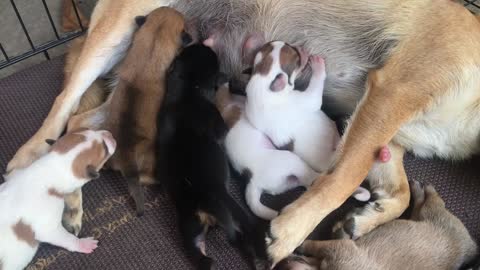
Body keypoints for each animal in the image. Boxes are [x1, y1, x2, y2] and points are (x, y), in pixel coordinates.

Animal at [0, 129, 116, 270]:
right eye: (105, 149)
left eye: (87, 130)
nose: (109, 133)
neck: (46, 172)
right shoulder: (48, 226)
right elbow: (64, 237)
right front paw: (82, 244)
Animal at [156, 44, 264, 270]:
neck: (187, 91)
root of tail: (204, 205)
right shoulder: (217, 122)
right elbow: (222, 130)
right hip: (233, 208)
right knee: (247, 231)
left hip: (190, 226)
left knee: (200, 254)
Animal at [276, 181, 478, 270]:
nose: (284, 262)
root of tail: (471, 245)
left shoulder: (341, 249)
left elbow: (316, 245)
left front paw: (301, 245)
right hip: (420, 219)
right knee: (417, 208)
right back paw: (417, 189)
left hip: (436, 215)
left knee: (433, 201)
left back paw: (425, 189)